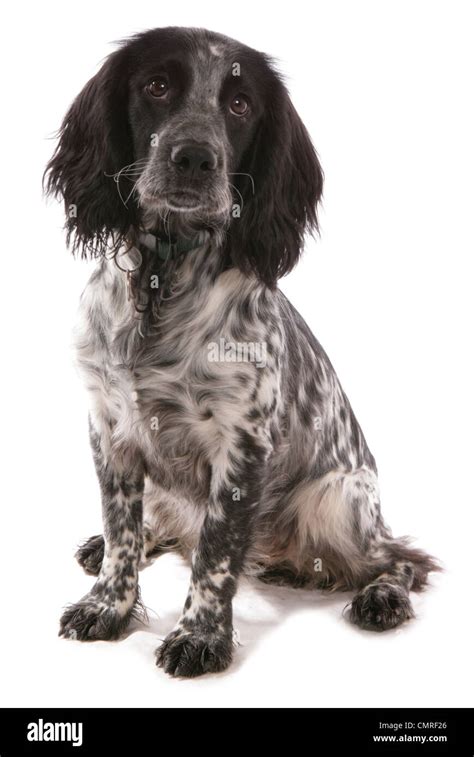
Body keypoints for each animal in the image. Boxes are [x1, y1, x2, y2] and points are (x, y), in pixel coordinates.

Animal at [46, 28, 438, 680]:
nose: (194, 157)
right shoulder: (109, 426)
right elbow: (123, 528)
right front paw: (107, 604)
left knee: (403, 557)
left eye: (239, 104)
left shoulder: (242, 442)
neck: (163, 281)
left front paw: (199, 636)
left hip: (336, 502)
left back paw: (381, 596)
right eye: (157, 85)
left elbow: (217, 553)